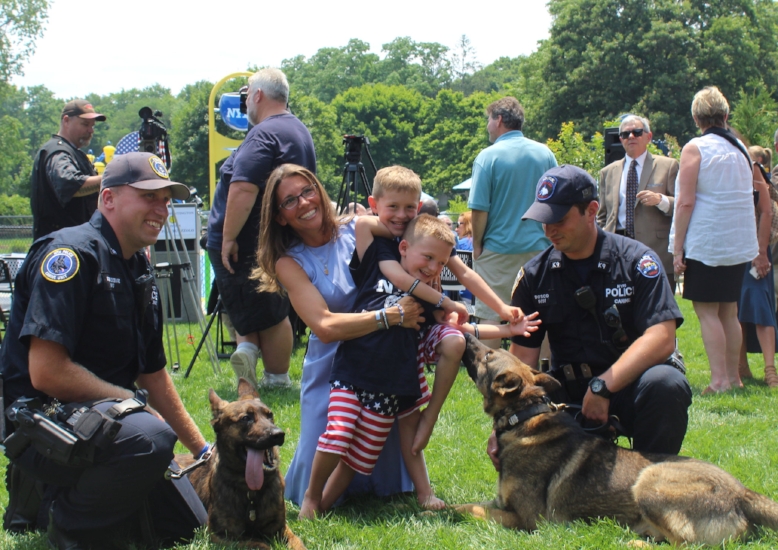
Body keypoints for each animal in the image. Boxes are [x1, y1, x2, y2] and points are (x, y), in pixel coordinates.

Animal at [180, 382, 304, 548]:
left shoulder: (282, 529)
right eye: (246, 418)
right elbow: (259, 544)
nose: (279, 434)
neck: (251, 492)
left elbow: (298, 543)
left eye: (270, 415)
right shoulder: (220, 536)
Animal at [458, 332, 778, 548]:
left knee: (686, 544)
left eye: (488, 355)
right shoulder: (501, 503)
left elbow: (472, 510)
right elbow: (474, 503)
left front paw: (448, 514)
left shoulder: (527, 520)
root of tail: (742, 493)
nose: (466, 333)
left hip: (649, 483)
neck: (523, 417)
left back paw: (632, 543)